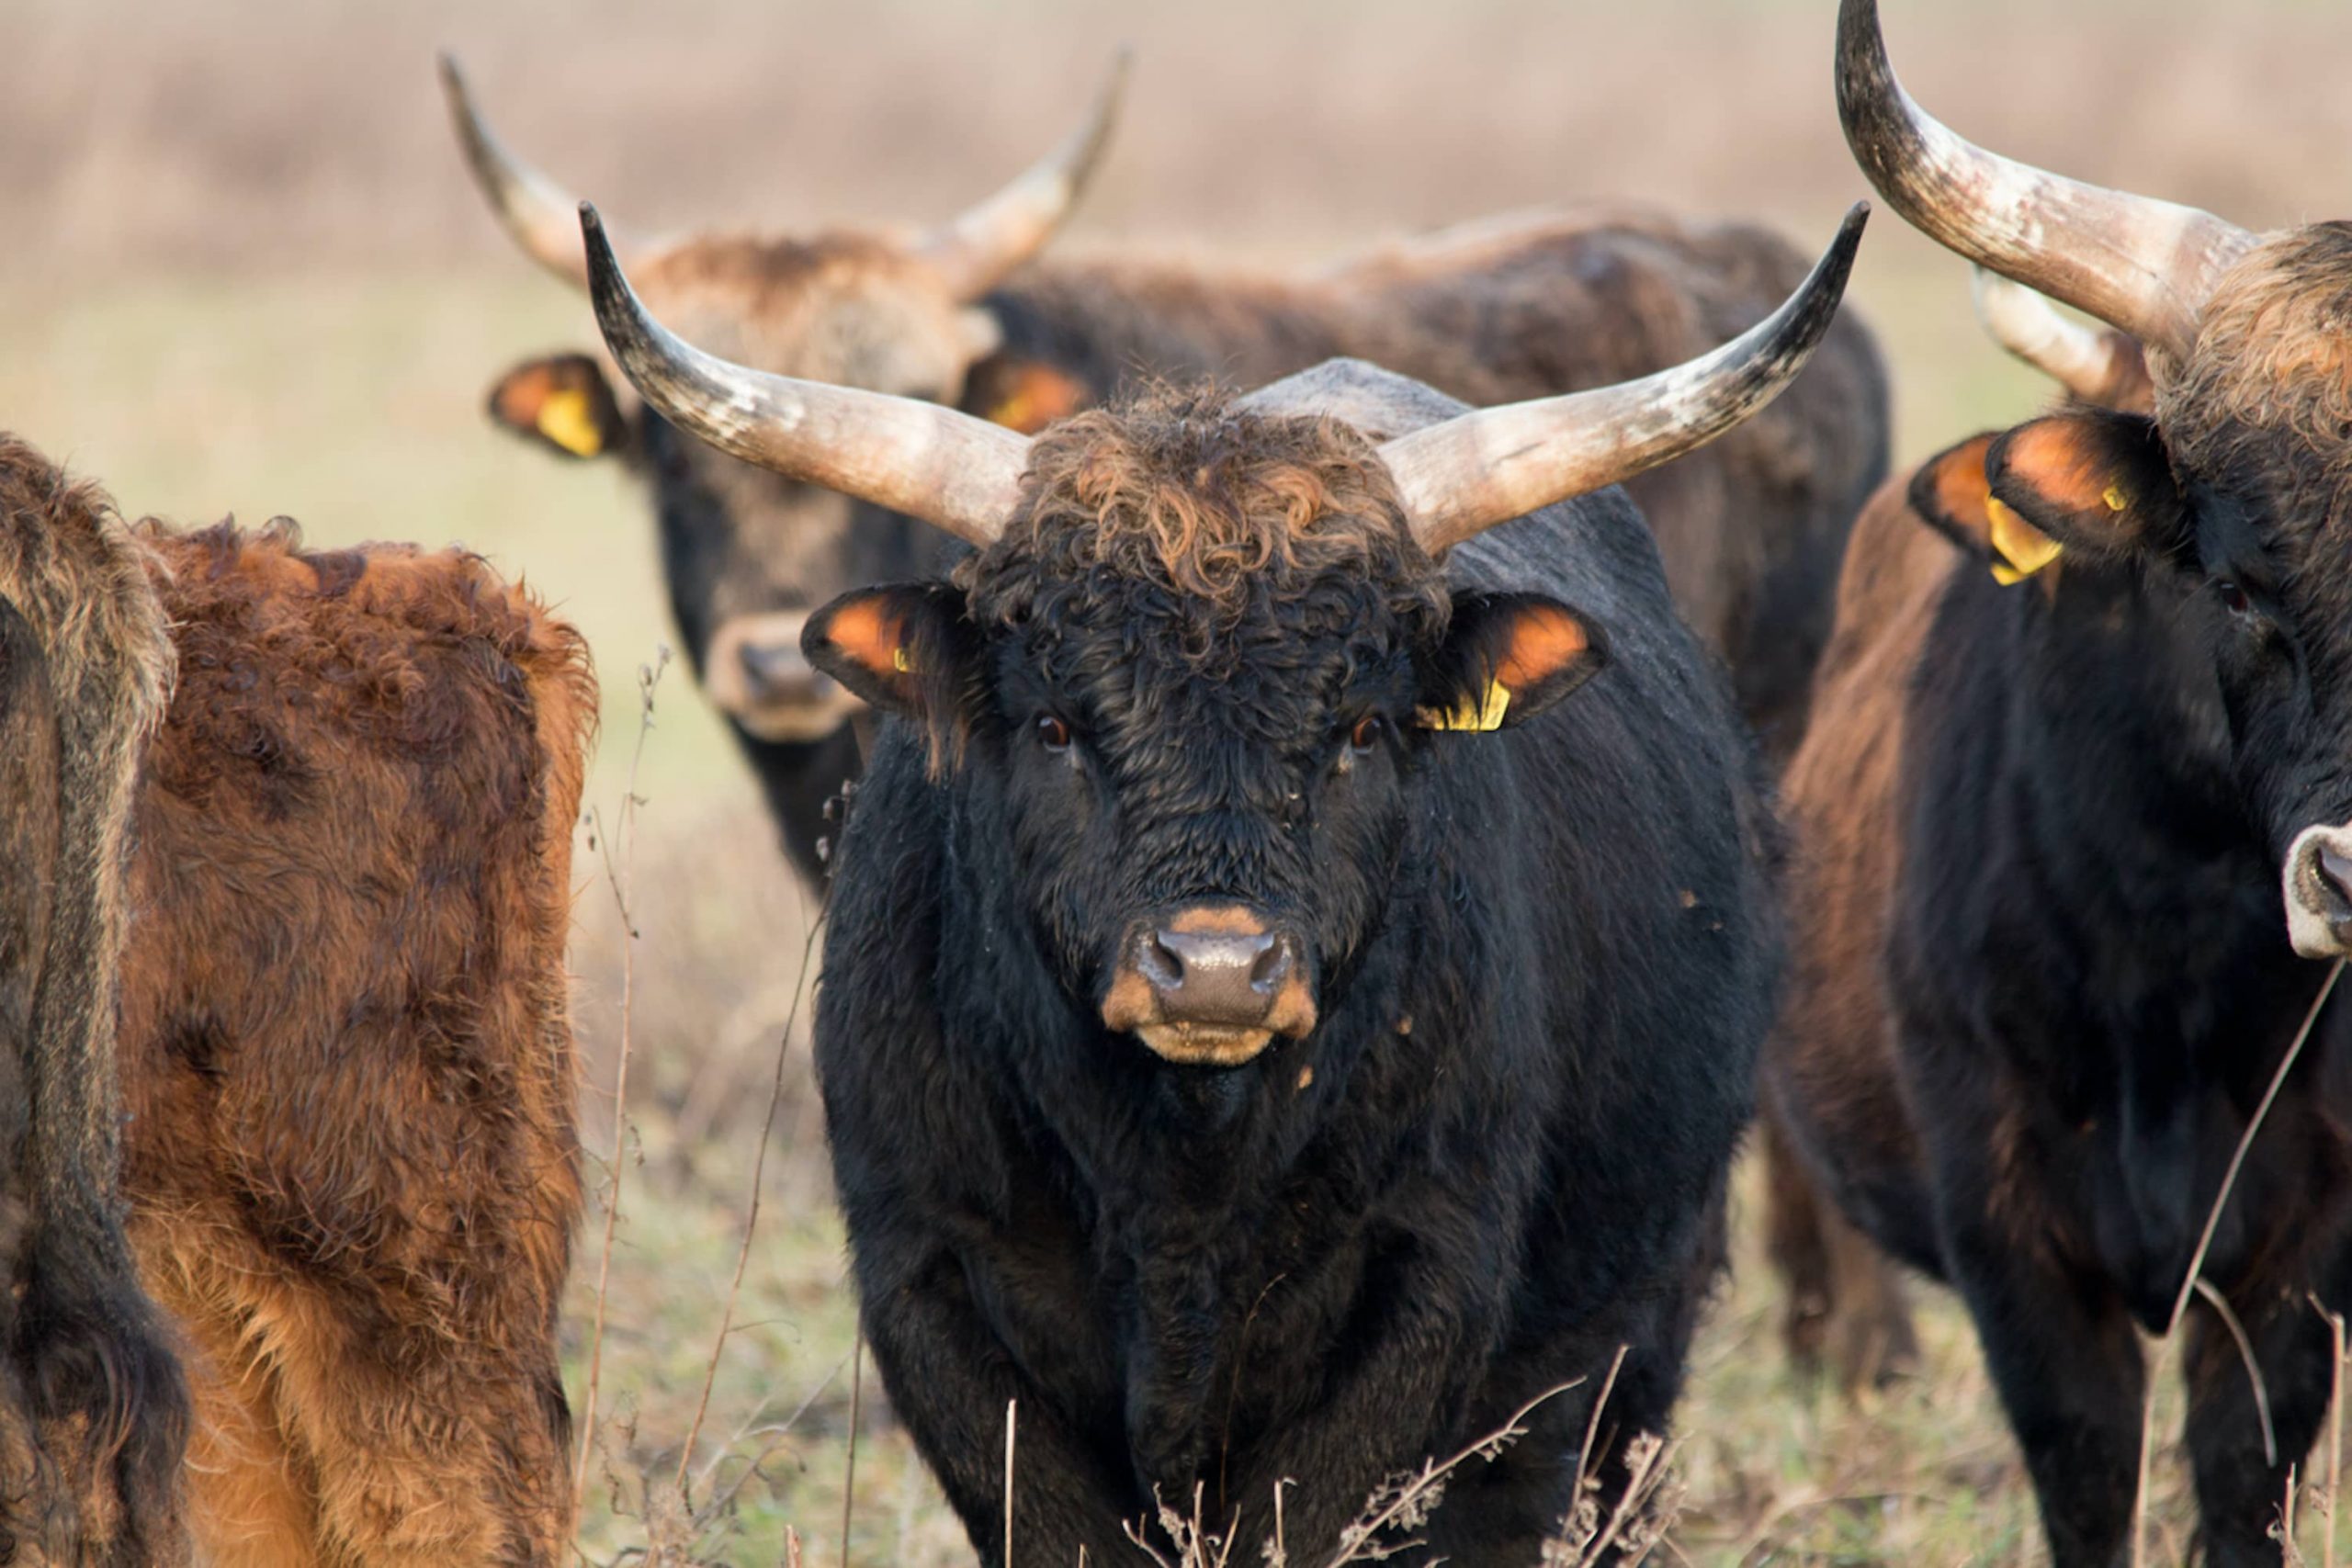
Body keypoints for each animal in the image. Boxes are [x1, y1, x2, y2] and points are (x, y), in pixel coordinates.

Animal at [582, 199, 1853, 1568]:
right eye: (1054, 724)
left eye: (1362, 726)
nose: (1216, 970)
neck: (1182, 1172)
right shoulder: (927, 1273)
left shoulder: (1429, 1281)